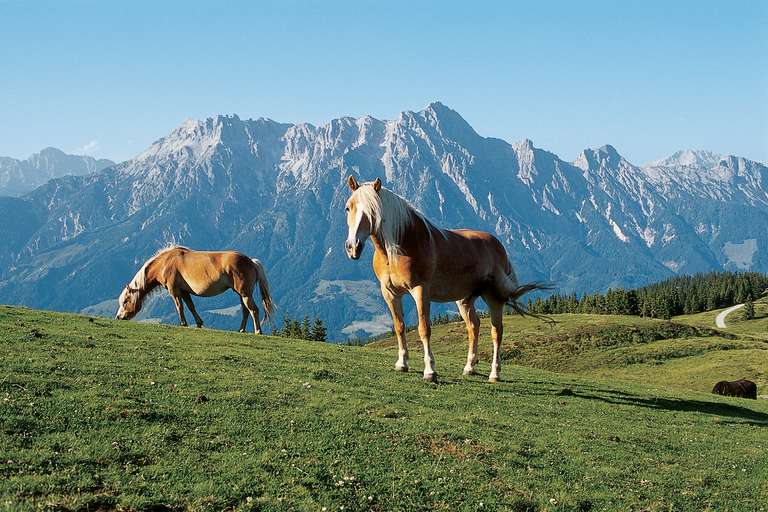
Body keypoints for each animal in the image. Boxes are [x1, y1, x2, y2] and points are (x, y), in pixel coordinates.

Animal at [112, 246, 272, 334]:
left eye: (126, 301)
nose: (119, 317)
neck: (164, 263)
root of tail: (251, 261)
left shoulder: (175, 291)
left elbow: (180, 307)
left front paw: (183, 323)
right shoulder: (184, 292)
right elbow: (190, 306)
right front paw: (199, 323)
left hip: (245, 294)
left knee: (254, 310)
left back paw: (258, 331)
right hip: (241, 294)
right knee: (245, 311)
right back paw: (242, 330)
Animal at [344, 176, 544, 380]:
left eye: (373, 211)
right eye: (348, 208)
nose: (353, 247)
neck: (399, 248)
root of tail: (498, 245)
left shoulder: (420, 291)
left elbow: (424, 329)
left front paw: (430, 371)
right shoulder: (390, 293)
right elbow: (399, 326)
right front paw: (402, 364)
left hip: (493, 298)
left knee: (496, 331)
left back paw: (494, 374)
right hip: (465, 299)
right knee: (474, 326)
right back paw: (469, 367)